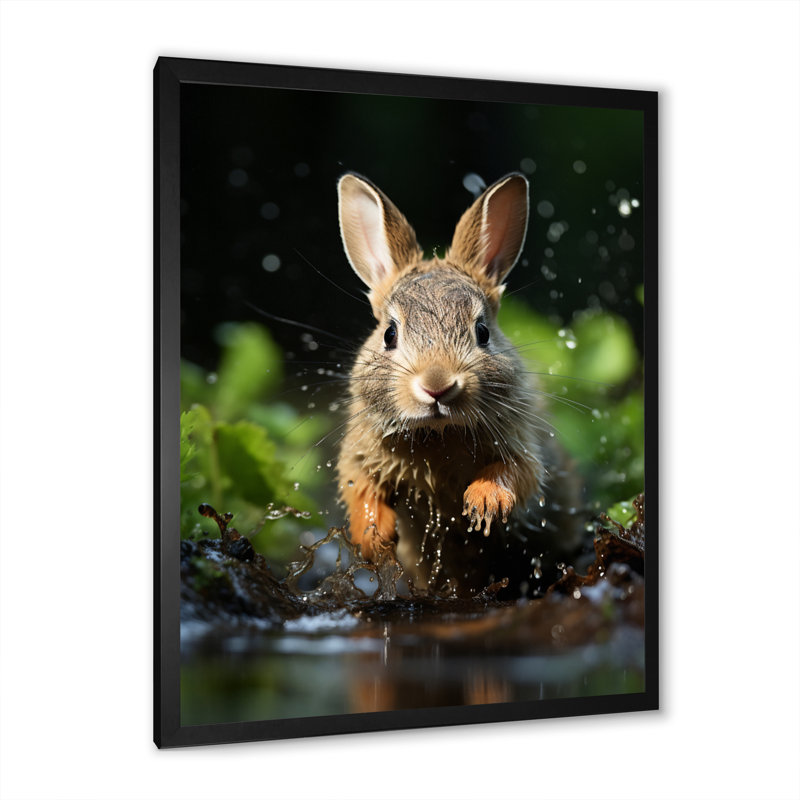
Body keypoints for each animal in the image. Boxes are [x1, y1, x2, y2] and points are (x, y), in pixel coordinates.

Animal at [335, 172, 581, 597]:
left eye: (482, 332)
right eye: (389, 334)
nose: (436, 386)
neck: (439, 432)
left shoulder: (520, 441)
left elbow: (519, 473)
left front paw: (482, 503)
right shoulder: (360, 451)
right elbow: (359, 487)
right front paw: (374, 536)